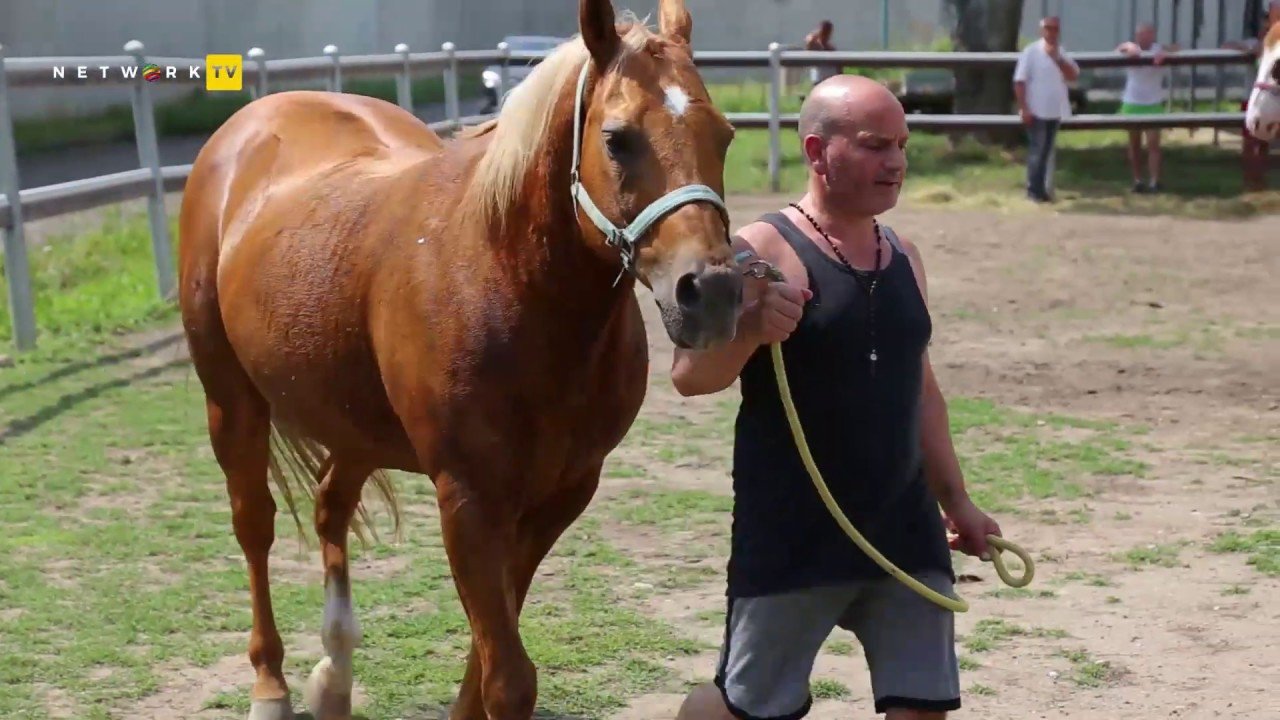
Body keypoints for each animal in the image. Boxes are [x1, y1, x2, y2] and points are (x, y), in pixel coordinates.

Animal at [175, 0, 743, 716]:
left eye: (724, 135)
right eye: (618, 139)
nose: (713, 293)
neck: (506, 281)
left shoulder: (558, 498)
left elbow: (492, 647)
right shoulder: (468, 500)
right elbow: (508, 675)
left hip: (354, 425)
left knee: (331, 506)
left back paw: (333, 676)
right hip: (231, 402)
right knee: (255, 526)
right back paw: (271, 687)